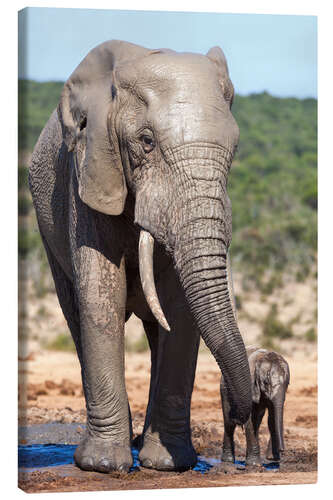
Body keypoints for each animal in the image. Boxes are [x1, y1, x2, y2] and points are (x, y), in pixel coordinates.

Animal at [29, 40, 252, 472]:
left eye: (234, 149)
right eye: (146, 141)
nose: (240, 410)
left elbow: (179, 308)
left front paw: (167, 464)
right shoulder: (89, 173)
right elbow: (101, 296)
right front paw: (102, 465)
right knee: (75, 312)